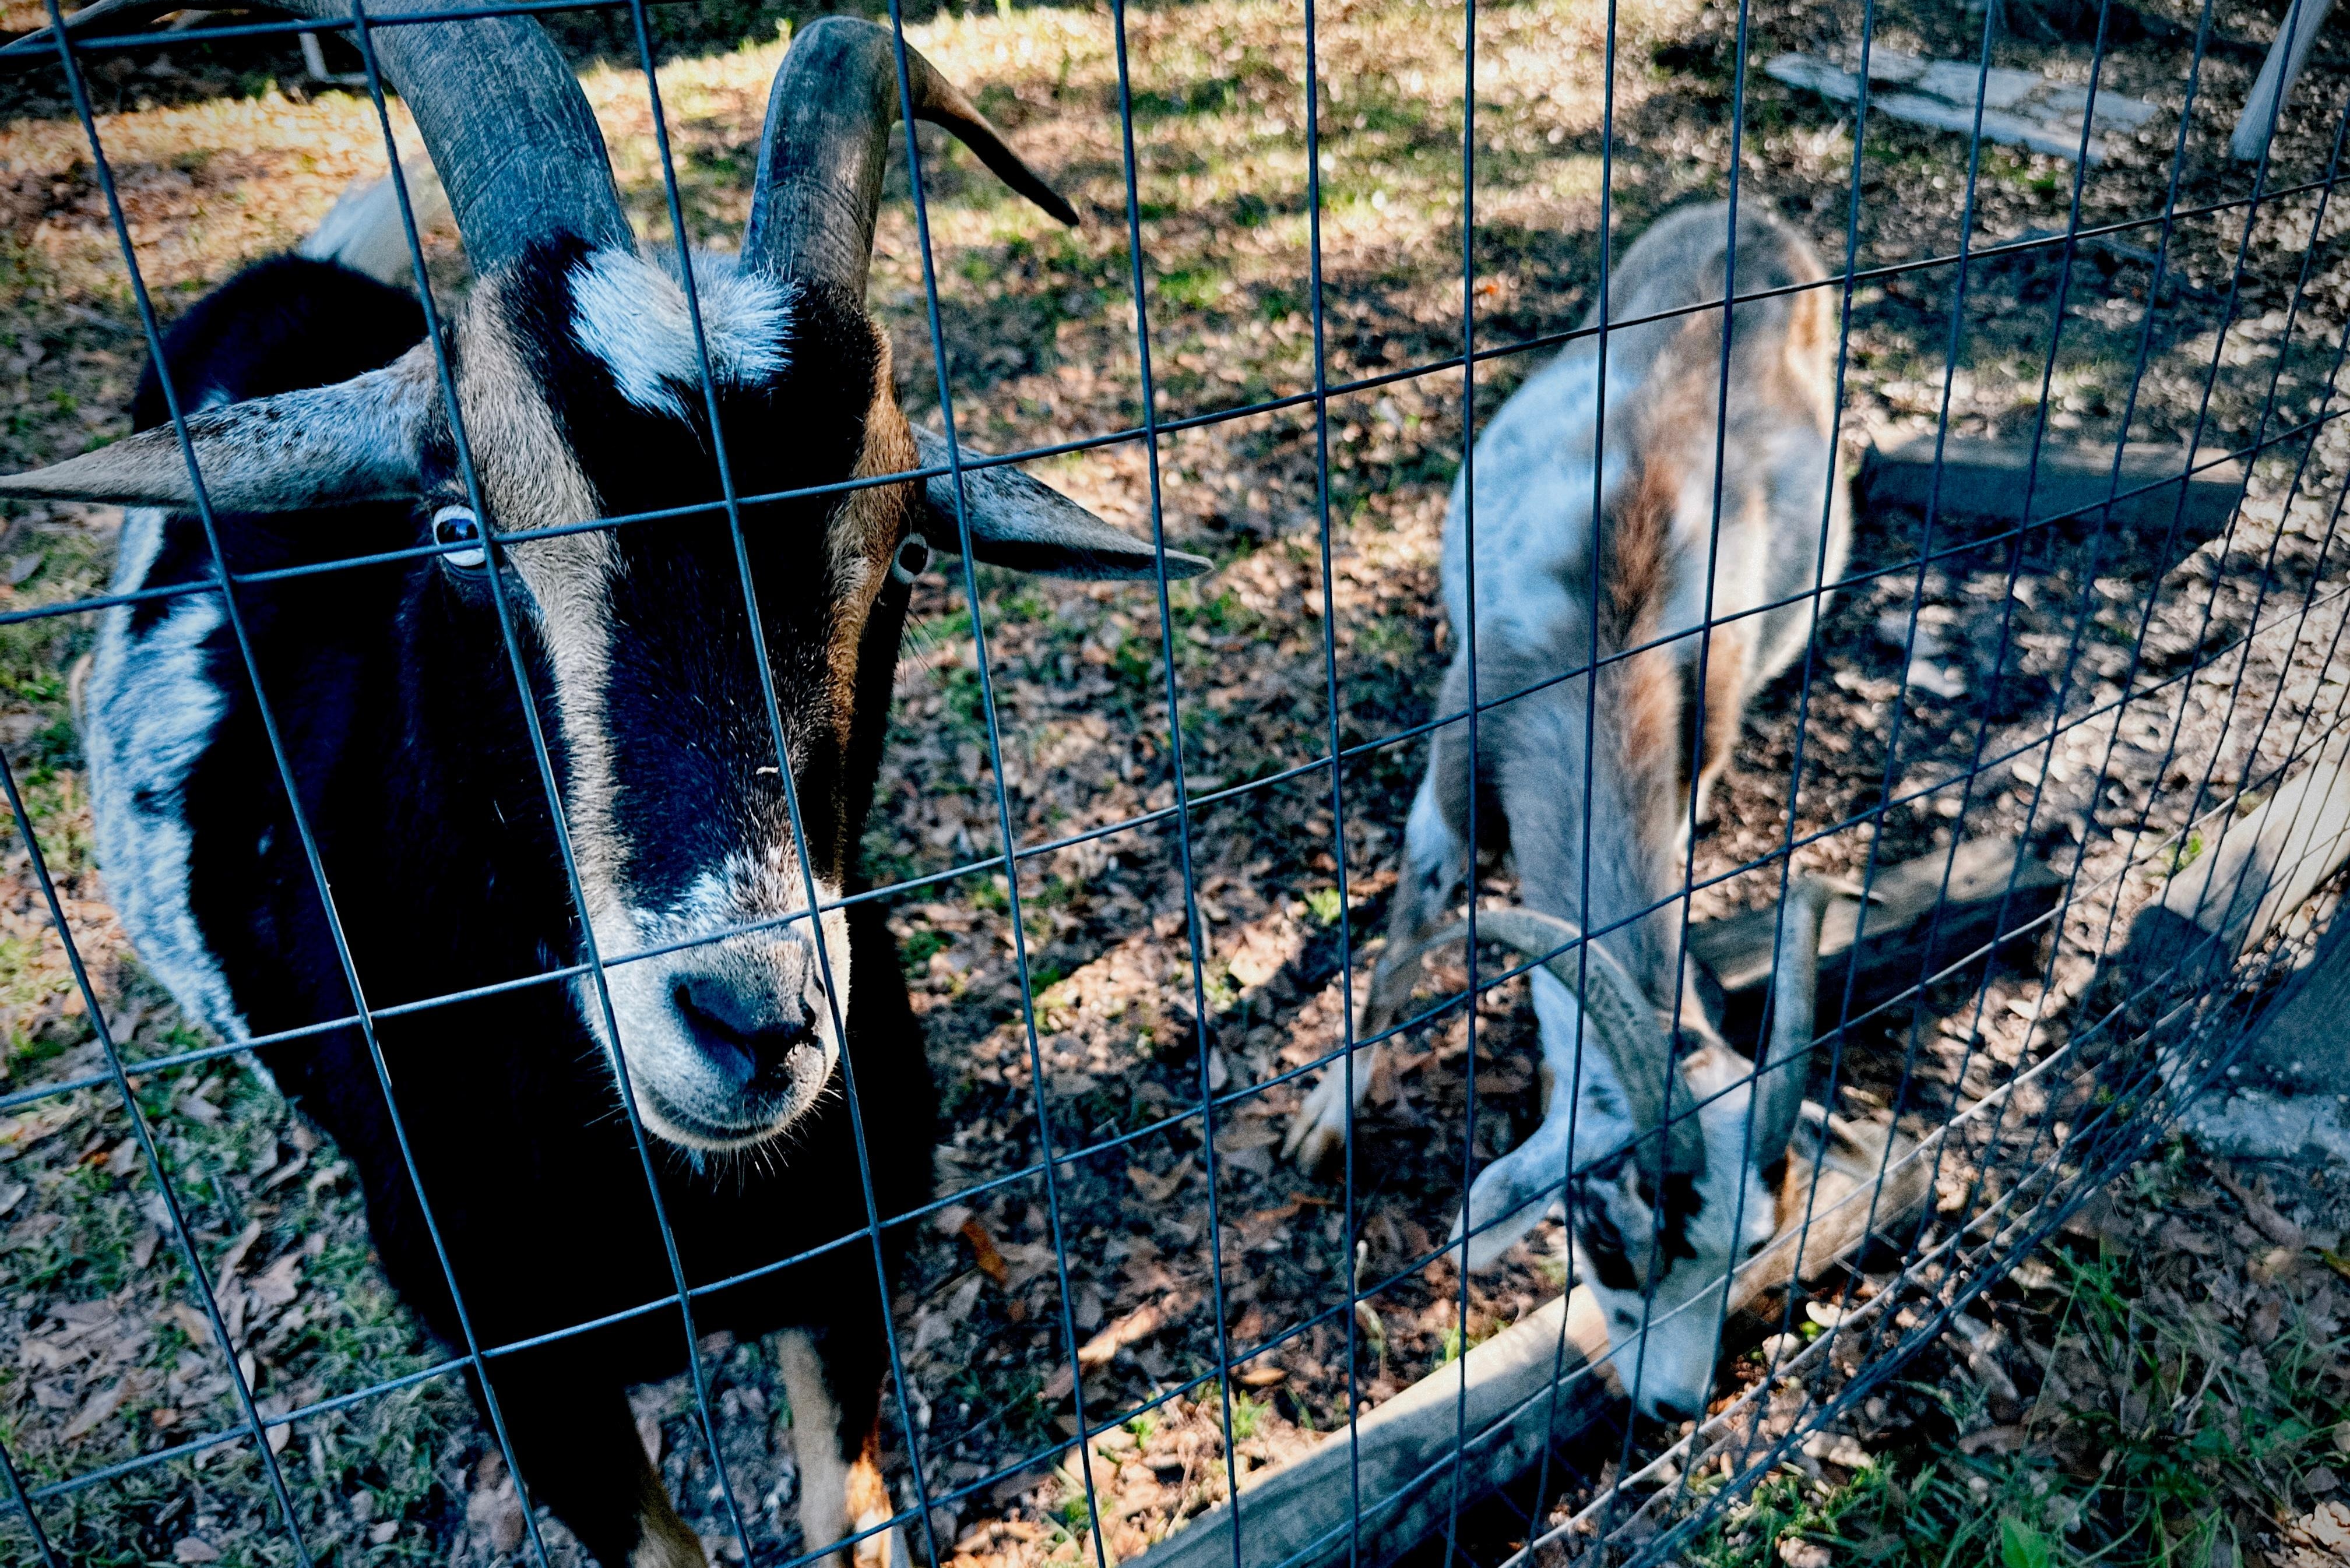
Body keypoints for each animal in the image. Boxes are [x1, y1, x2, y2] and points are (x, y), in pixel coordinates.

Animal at [1283, 202, 1852, 1422]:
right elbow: (1400, 946)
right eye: (1612, 1243)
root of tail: (1748, 214)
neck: (1600, 642)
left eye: (1748, 1251)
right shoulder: (1451, 783)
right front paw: (1324, 1120)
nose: (1674, 1408)